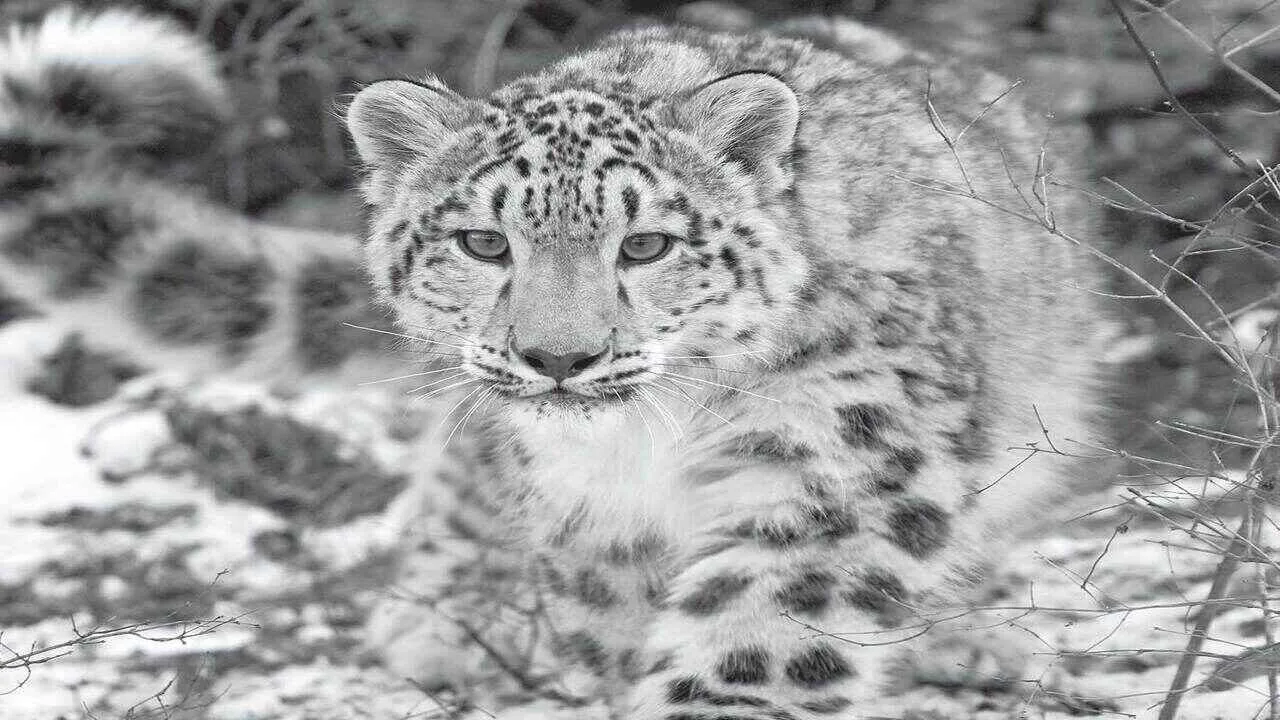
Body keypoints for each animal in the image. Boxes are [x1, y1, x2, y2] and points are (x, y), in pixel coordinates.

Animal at [0, 6, 1104, 719]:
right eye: (484, 244)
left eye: (646, 245)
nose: (558, 357)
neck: (647, 446)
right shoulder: (592, 524)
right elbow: (613, 631)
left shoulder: (832, 458)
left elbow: (759, 627)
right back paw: (449, 619)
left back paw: (973, 636)